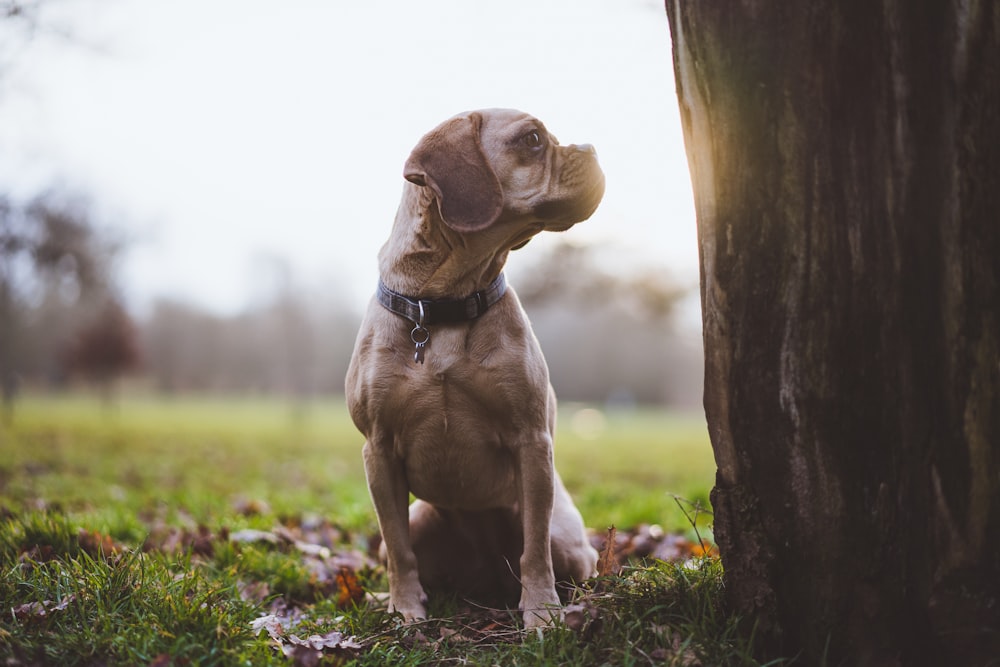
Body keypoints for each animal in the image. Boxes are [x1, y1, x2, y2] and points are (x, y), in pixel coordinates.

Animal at [348, 109, 604, 632]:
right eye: (532, 139)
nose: (592, 148)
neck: (443, 303)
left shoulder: (532, 441)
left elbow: (534, 550)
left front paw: (542, 613)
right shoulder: (378, 450)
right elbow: (398, 550)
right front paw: (405, 609)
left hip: (566, 536)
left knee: (566, 555)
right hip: (422, 518)